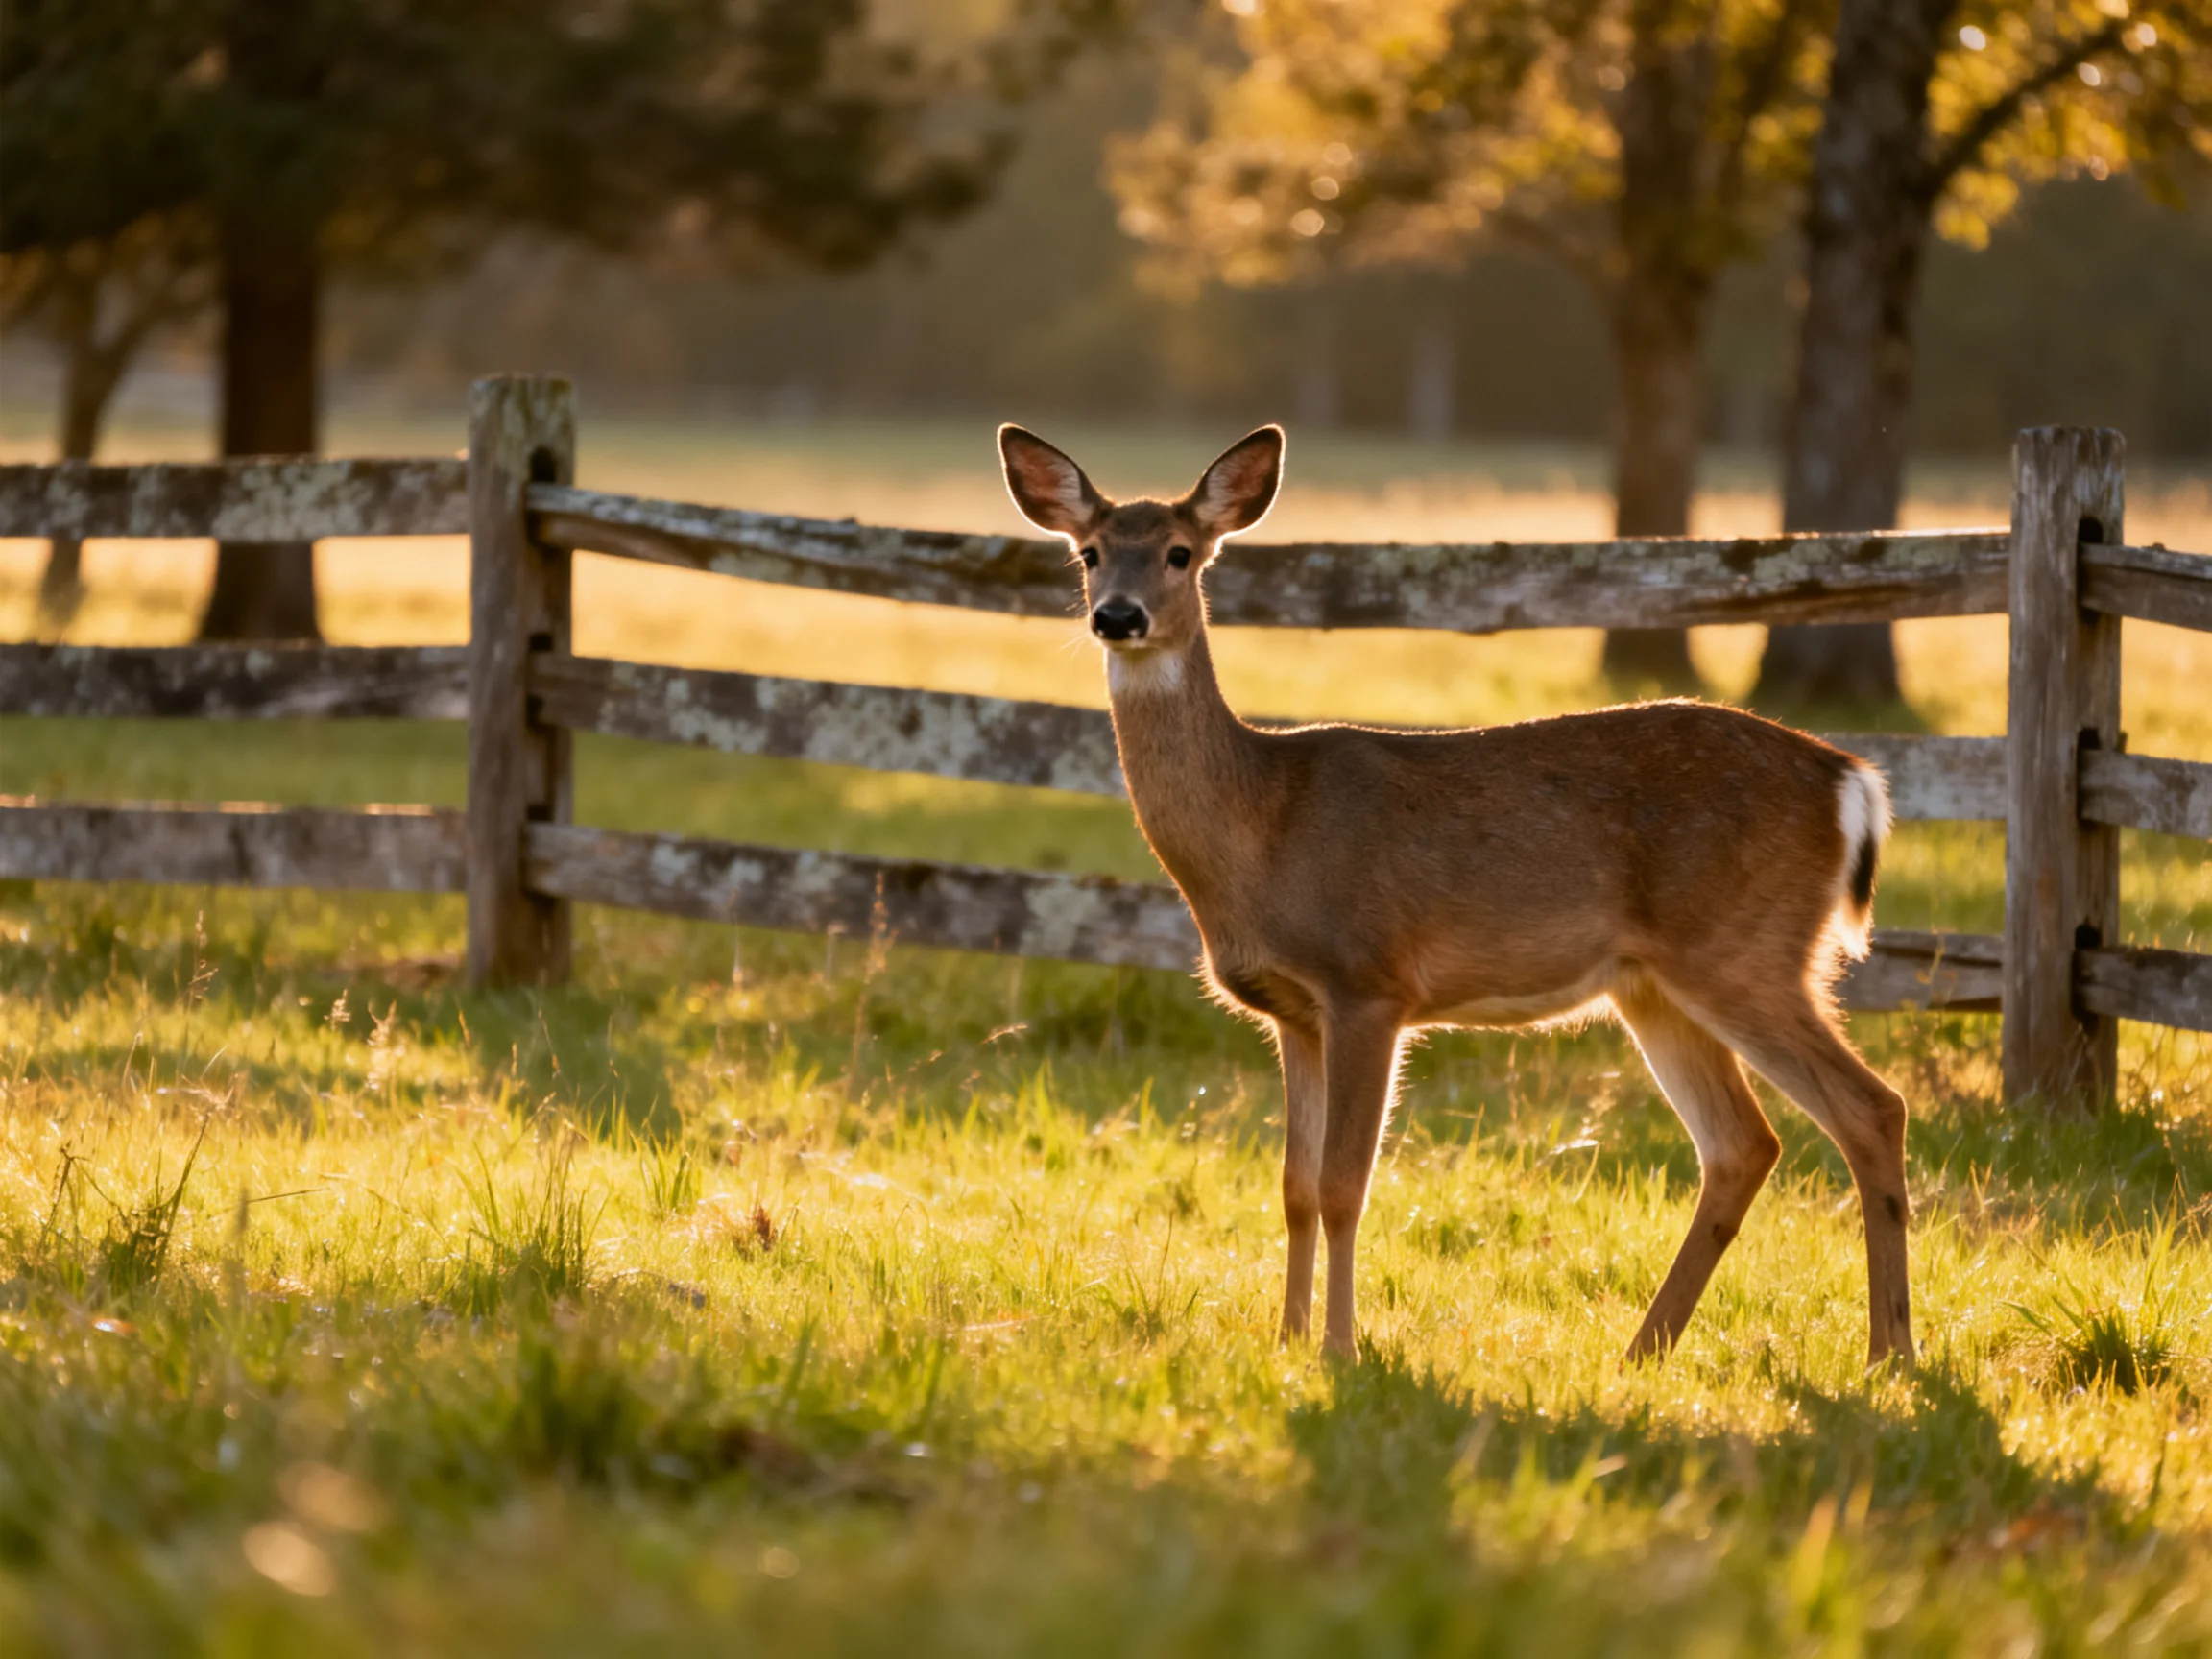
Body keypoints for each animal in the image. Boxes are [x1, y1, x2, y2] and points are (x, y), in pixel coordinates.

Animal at [998, 423, 1915, 1367]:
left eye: (1180, 553)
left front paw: (1340, 1350)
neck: (1263, 826)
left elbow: (1343, 1185)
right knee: (1743, 1145)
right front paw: (1286, 1339)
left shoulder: (1368, 983)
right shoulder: (1293, 1011)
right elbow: (1292, 1185)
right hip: (1657, 985)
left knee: (1871, 1108)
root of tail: (1852, 783)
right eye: (1090, 552)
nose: (1118, 616)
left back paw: (1890, 1354)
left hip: (1745, 949)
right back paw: (1643, 1351)